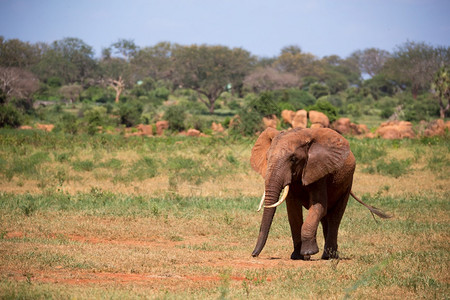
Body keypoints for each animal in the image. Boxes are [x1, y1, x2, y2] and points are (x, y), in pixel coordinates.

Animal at [250, 126, 390, 260]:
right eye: (267, 158)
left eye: (293, 159)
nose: (253, 254)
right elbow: (293, 212)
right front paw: (298, 256)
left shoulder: (320, 171)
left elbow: (317, 206)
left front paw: (308, 252)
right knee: (325, 217)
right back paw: (329, 255)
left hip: (347, 183)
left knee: (335, 216)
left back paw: (329, 256)